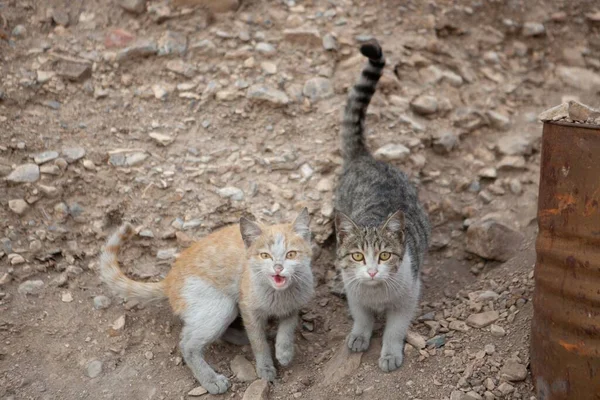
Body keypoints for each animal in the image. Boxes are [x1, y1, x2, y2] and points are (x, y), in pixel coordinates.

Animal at [97, 209, 314, 394]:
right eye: (265, 255)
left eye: (291, 254)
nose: (278, 267)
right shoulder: (248, 309)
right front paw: (265, 367)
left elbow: (288, 325)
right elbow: (258, 343)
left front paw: (284, 351)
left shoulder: (295, 305)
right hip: (222, 305)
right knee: (188, 344)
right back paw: (212, 380)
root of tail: (169, 281)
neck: (279, 296)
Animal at [332, 39, 432, 374]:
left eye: (385, 255)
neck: (375, 293)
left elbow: (394, 329)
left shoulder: (408, 297)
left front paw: (389, 354)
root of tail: (365, 158)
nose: (374, 271)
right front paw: (359, 336)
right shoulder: (354, 293)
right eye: (358, 256)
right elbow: (362, 316)